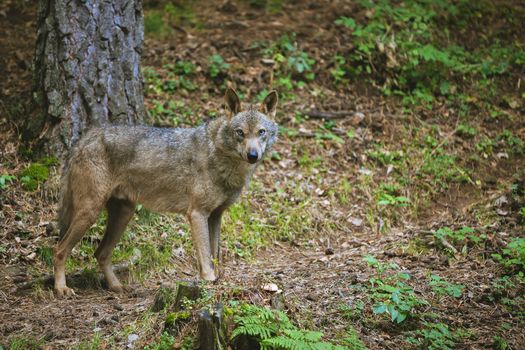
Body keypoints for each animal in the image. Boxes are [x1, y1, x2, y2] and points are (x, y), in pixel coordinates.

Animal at [53, 89, 278, 296]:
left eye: (261, 132)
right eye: (240, 132)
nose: (253, 155)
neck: (220, 155)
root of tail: (84, 139)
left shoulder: (216, 215)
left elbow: (215, 255)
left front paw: (218, 280)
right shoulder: (197, 214)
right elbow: (205, 256)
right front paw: (208, 280)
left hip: (124, 214)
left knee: (100, 253)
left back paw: (116, 287)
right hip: (90, 213)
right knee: (60, 250)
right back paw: (61, 288)